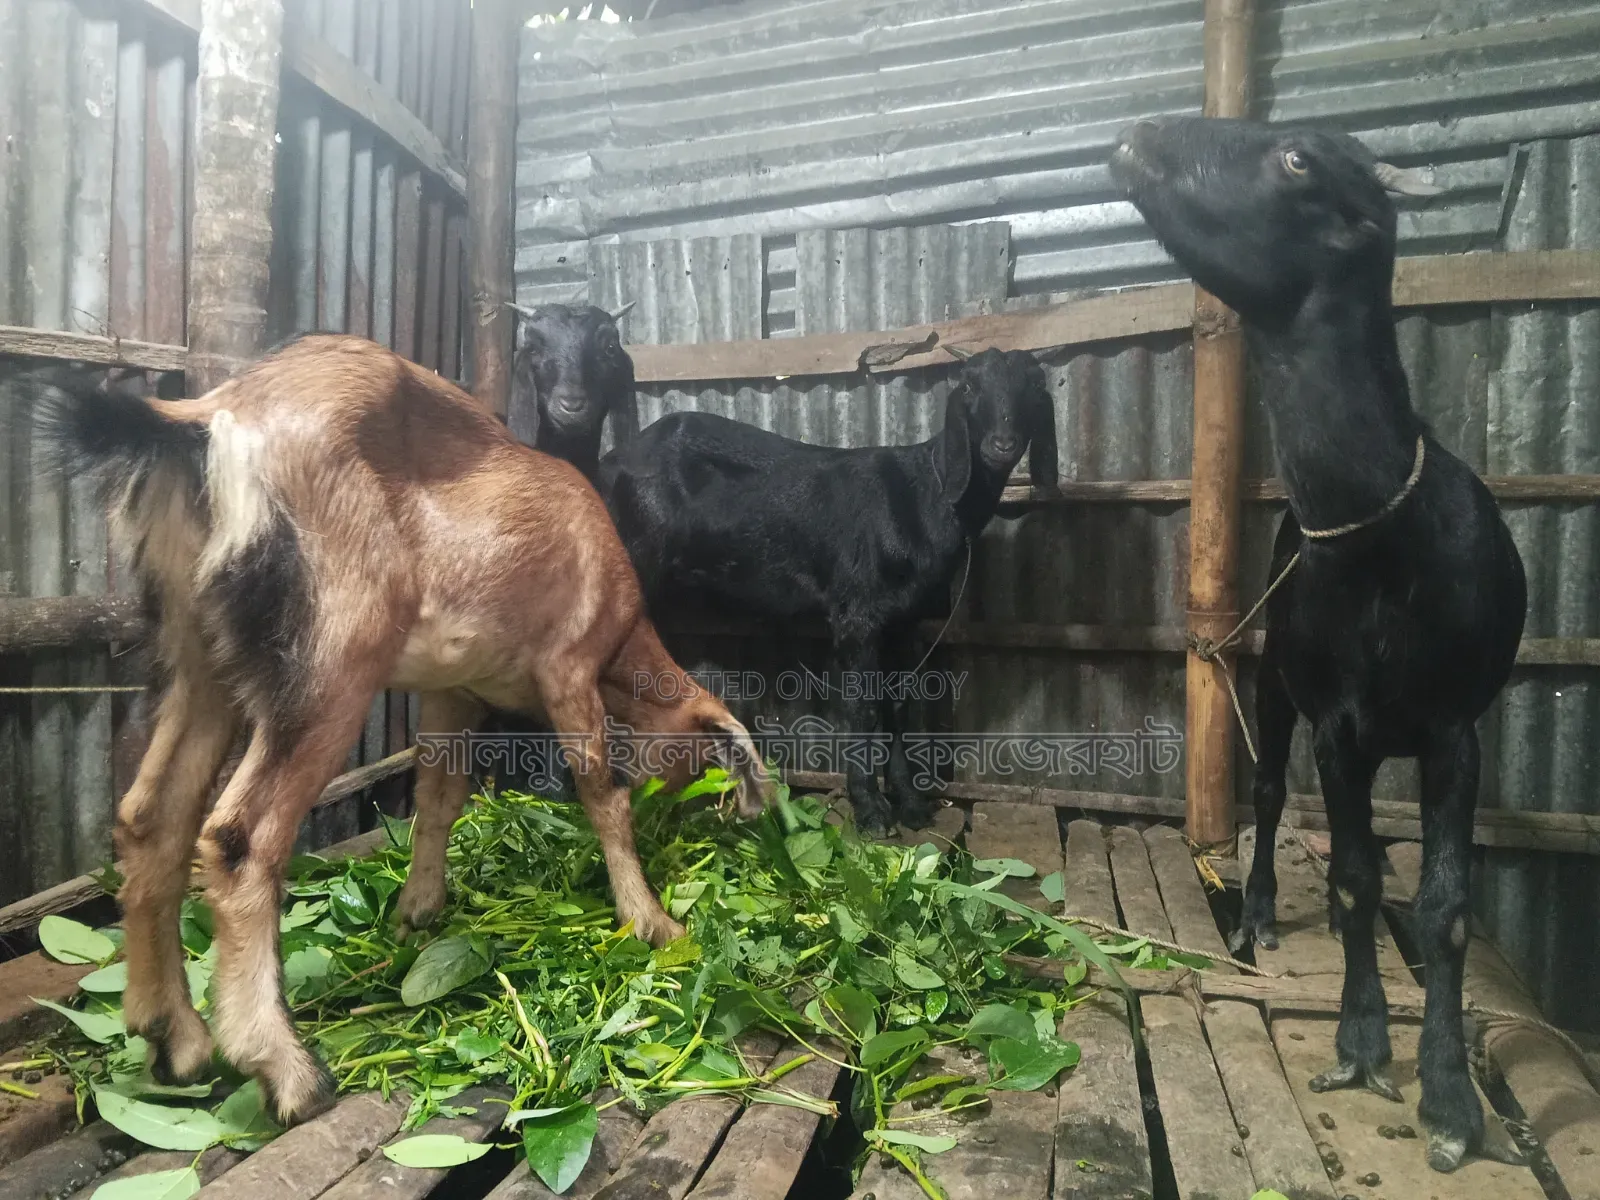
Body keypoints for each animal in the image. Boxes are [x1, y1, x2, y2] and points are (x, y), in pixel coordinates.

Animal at [32, 334, 772, 1126]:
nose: (687, 823)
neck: (622, 638)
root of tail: (207, 419)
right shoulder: (567, 667)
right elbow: (602, 792)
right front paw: (651, 920)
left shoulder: (453, 691)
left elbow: (437, 798)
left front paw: (418, 911)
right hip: (329, 661)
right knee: (239, 839)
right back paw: (285, 1067)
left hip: (199, 655)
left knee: (152, 817)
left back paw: (173, 1035)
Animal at [597, 348, 1059, 834]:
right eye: (969, 387)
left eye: (1035, 386)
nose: (1002, 445)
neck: (924, 494)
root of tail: (610, 463)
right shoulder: (857, 616)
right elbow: (862, 707)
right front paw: (871, 809)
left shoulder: (904, 621)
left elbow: (899, 707)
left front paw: (911, 803)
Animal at [1110, 117, 1526, 1172]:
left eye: (1298, 160)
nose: (1135, 136)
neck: (1384, 535)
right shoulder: (1336, 722)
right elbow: (1350, 883)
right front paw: (1362, 1042)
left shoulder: (1456, 728)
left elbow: (1444, 912)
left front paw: (1452, 1101)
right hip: (1269, 676)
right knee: (1264, 796)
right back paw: (1257, 913)